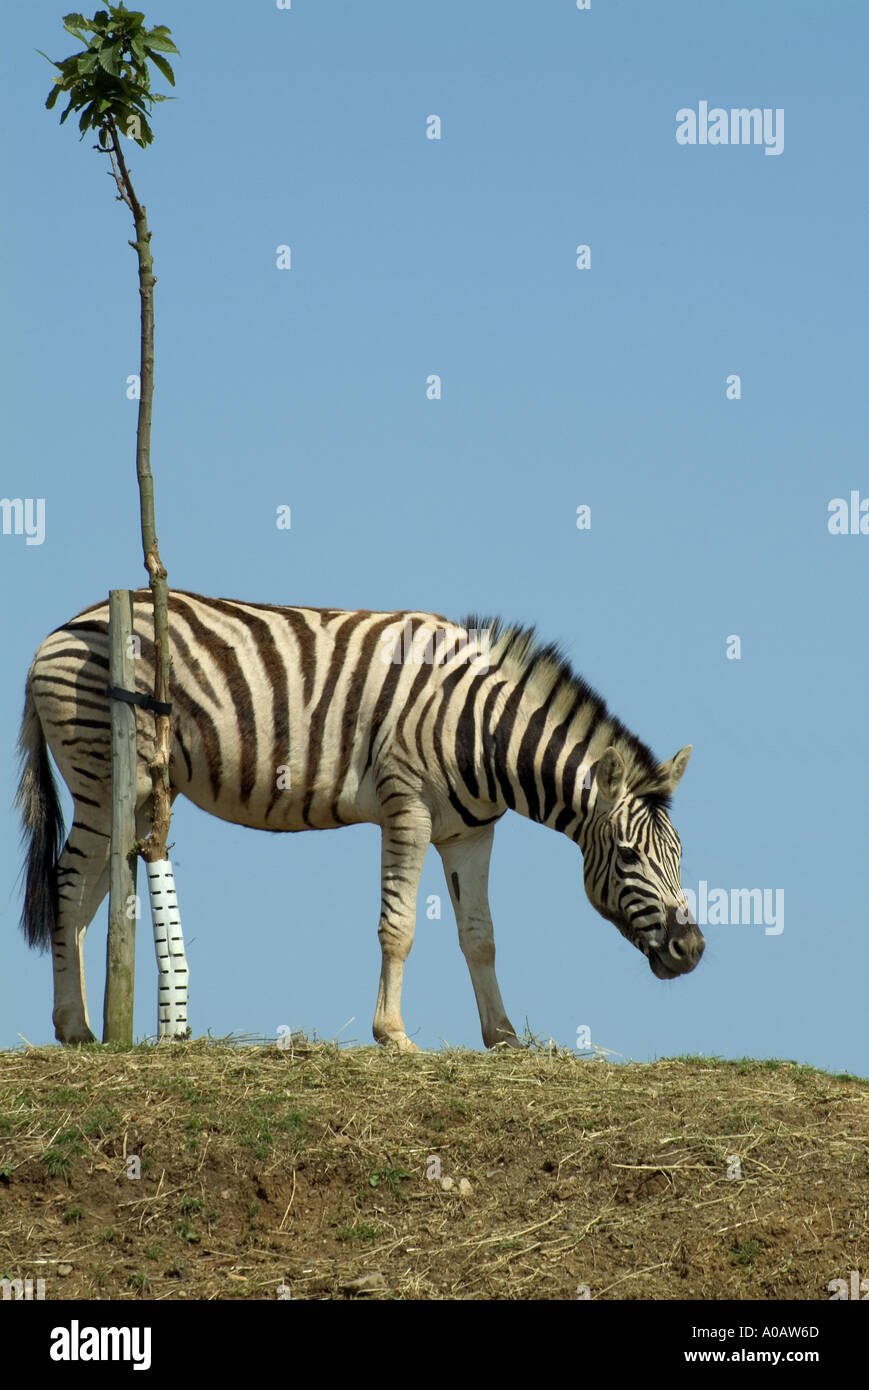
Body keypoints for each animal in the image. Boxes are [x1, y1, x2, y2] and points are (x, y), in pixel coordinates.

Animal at [16, 591, 705, 1047]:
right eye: (629, 857)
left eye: (679, 856)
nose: (693, 949)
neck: (481, 732)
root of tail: (59, 631)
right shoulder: (408, 809)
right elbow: (398, 928)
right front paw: (393, 1035)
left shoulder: (471, 833)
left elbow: (480, 936)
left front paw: (504, 1037)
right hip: (105, 772)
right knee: (69, 887)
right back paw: (75, 1029)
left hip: (130, 793)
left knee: (89, 897)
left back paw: (80, 1027)